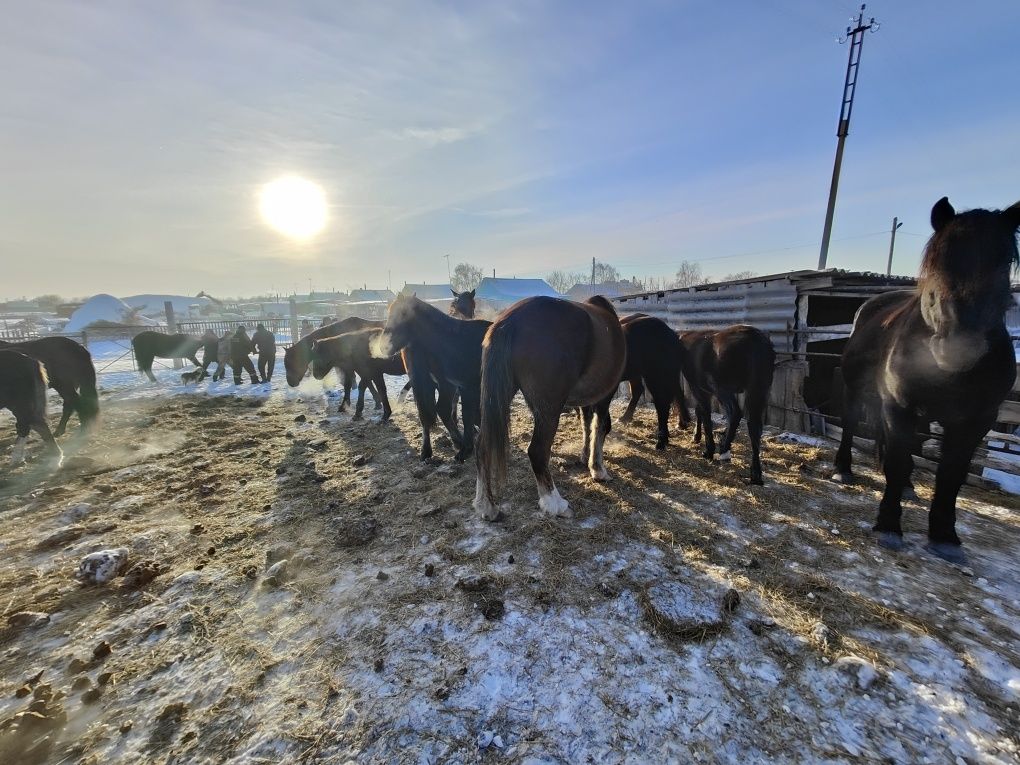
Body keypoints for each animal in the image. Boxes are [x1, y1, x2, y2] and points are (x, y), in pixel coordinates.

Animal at [473, 295, 624, 526]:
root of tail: (510, 320)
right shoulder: (604, 395)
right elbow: (599, 427)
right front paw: (598, 469)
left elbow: (586, 425)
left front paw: (585, 457)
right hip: (549, 411)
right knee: (537, 451)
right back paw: (555, 504)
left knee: (482, 445)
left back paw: (487, 507)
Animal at [681, 324, 775, 485]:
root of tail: (755, 339)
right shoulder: (704, 390)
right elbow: (700, 411)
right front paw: (697, 436)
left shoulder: (698, 387)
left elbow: (705, 414)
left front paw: (708, 449)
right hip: (760, 390)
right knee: (755, 426)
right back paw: (755, 473)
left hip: (723, 388)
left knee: (735, 413)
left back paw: (724, 448)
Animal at [832, 197, 1015, 563]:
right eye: (936, 263)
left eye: (1004, 264)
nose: (960, 346)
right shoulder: (900, 405)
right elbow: (899, 460)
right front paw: (889, 527)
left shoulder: (979, 420)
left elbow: (952, 475)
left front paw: (945, 537)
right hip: (857, 389)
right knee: (852, 425)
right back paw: (843, 469)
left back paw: (907, 488)